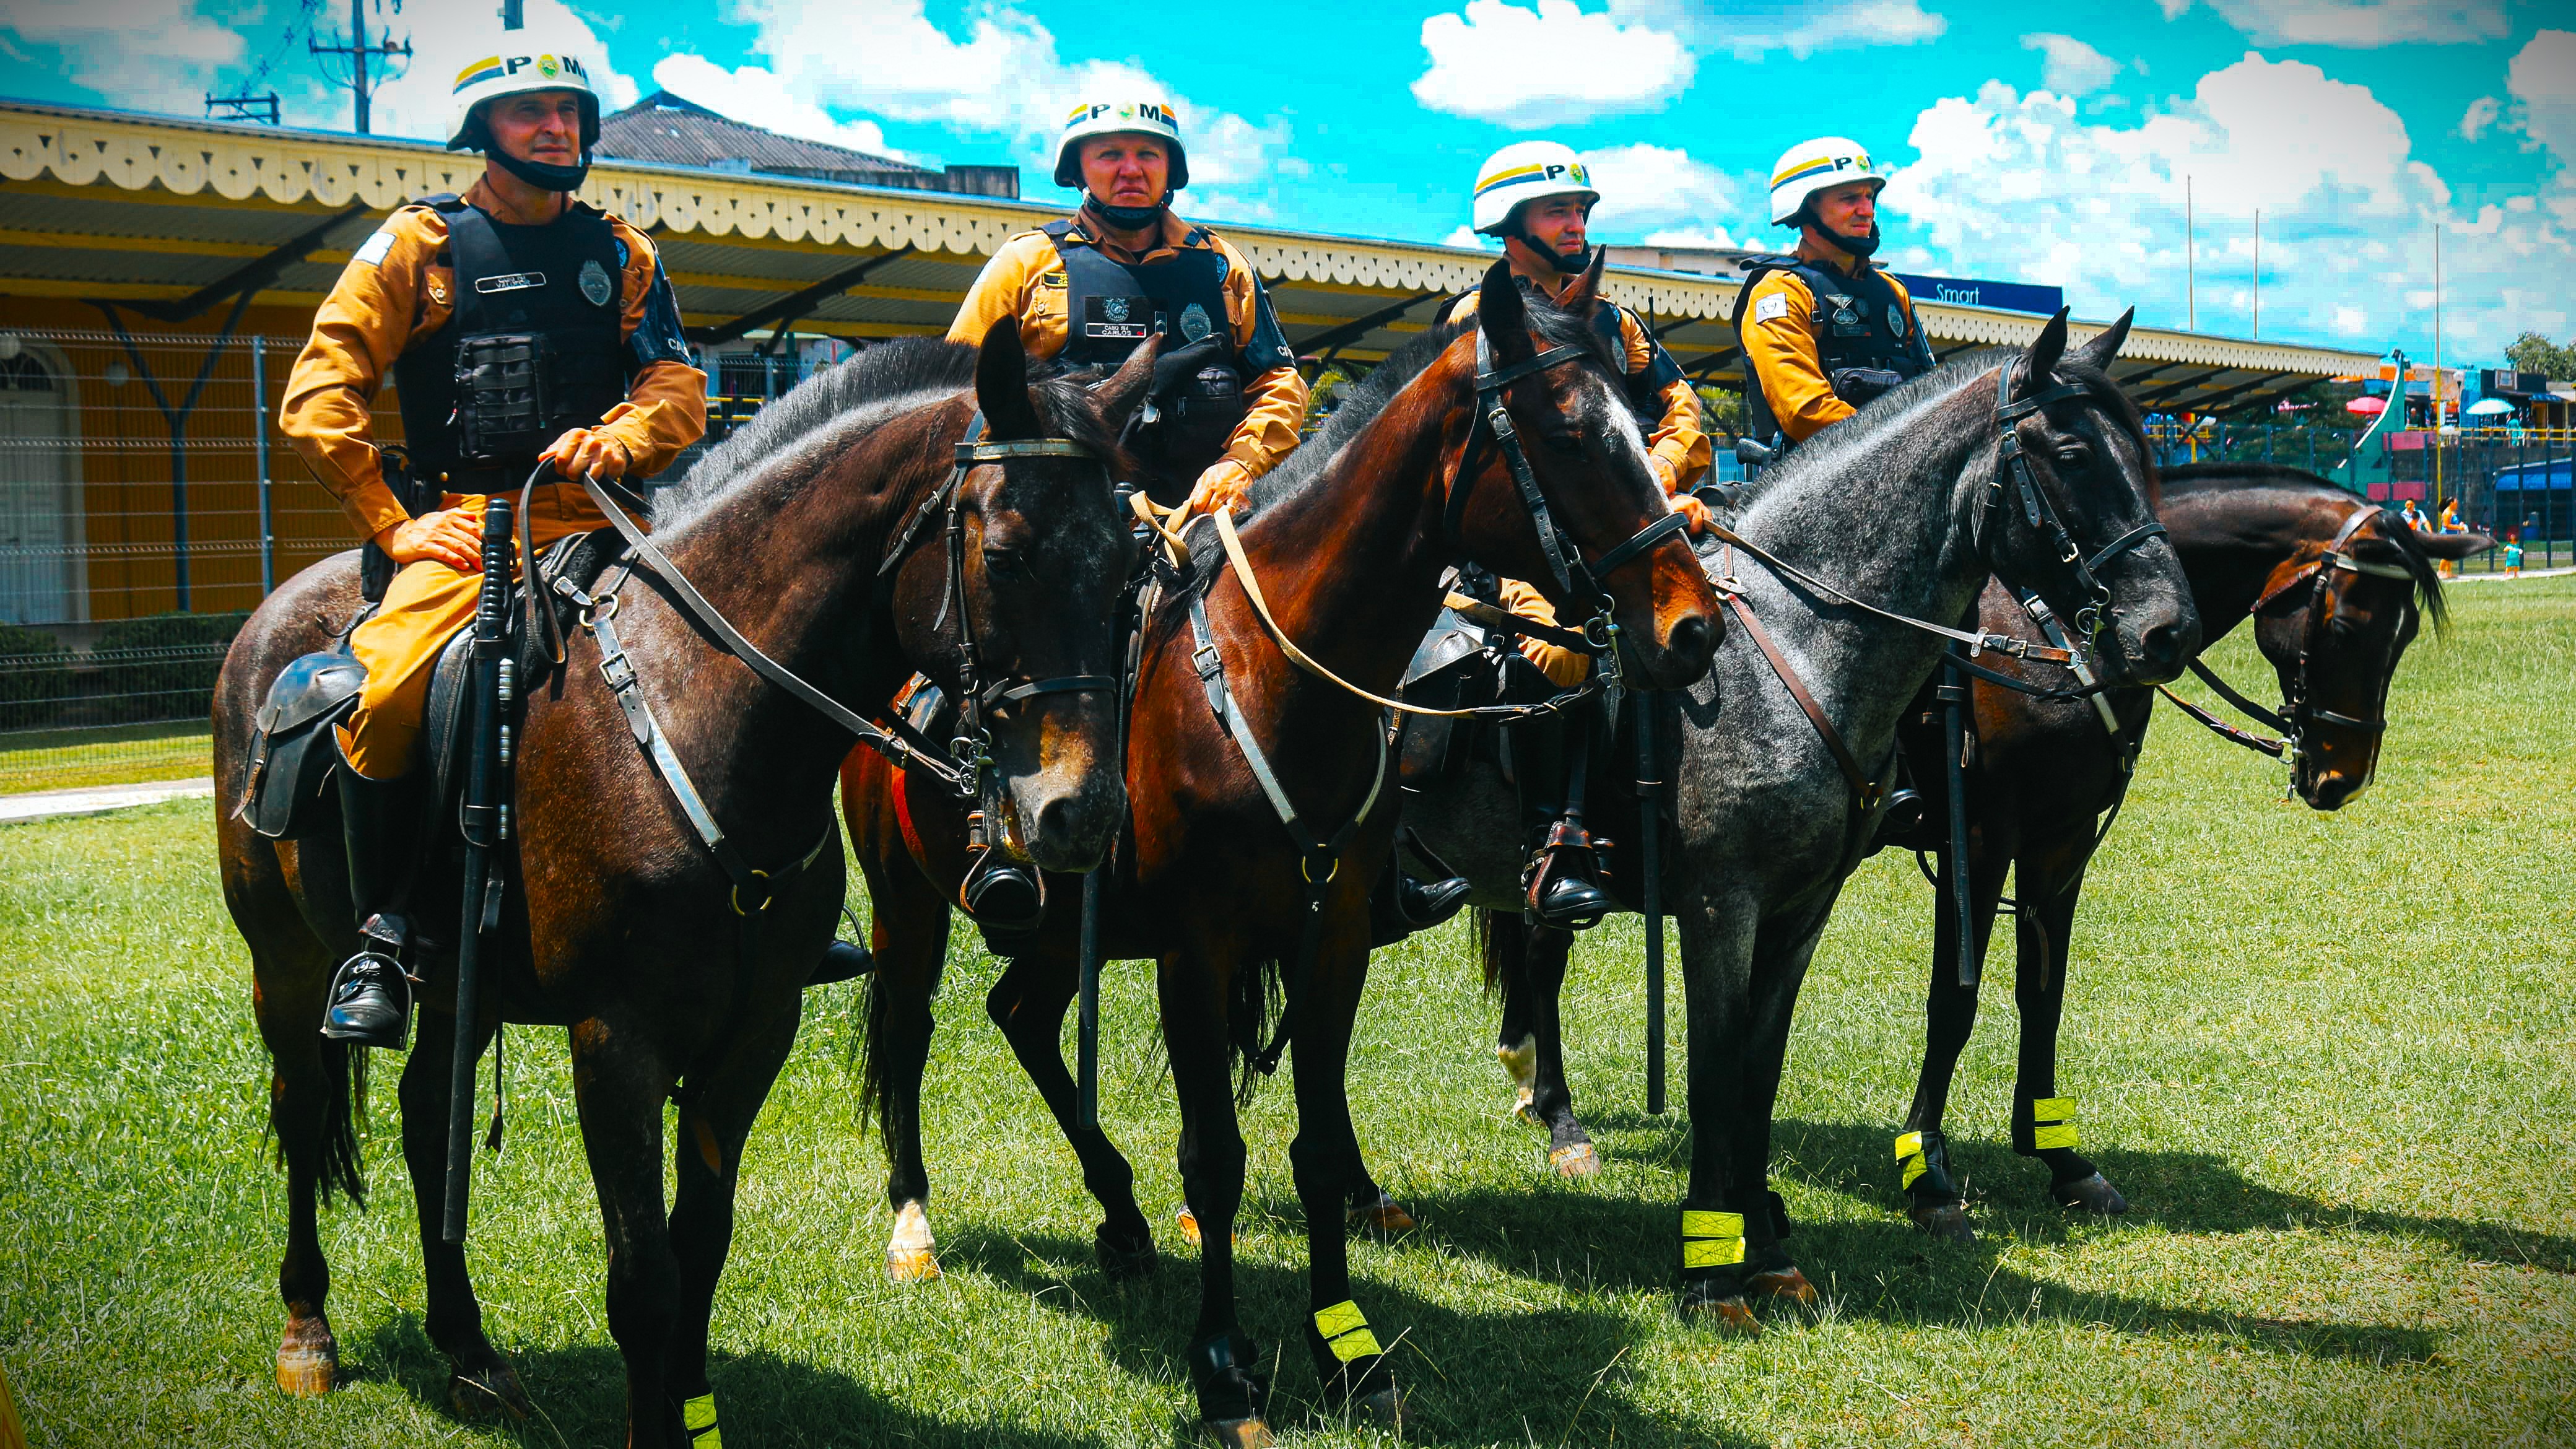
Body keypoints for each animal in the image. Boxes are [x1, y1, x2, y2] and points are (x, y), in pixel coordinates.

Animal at [216, 327, 1144, 1443]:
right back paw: (308, 1330)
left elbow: (701, 1243)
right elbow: (643, 1279)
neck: (696, 711)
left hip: (455, 992)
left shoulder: (755, 1032)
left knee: (426, 1116)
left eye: (1130, 564)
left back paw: (468, 1348)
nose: (1081, 811)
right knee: (304, 1109)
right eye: (1004, 554)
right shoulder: (617, 1044)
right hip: (286, 964)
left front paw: (692, 1405)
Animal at [845, 259, 1720, 1443]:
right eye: (1573, 434)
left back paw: (1119, 1215)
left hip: (1063, 925)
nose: (1693, 625)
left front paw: (1345, 1350)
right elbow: (1215, 1158)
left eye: (1644, 419)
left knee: (1020, 1014)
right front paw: (1224, 1370)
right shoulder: (1196, 953)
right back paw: (915, 1225)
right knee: (909, 1037)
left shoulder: (1330, 936)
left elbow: (1310, 1145)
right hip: (909, 908)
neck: (1273, 679)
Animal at [1401, 310, 2204, 1330]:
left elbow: (1761, 1068)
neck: (1790, 645)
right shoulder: (1728, 908)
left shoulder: (1812, 906)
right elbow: (1719, 1069)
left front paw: (1766, 1239)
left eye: (2145, 457)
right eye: (2069, 453)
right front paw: (1716, 1261)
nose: (2167, 631)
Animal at [1895, 461, 2493, 1227]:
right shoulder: (1978, 842)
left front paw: (2062, 1160)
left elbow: (2042, 996)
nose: (2347, 778)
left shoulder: (2060, 842)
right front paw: (1928, 1174)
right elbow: (1953, 1003)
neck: (2056, 631)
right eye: (2346, 624)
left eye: (2408, 631)